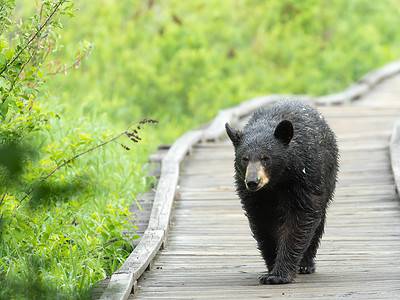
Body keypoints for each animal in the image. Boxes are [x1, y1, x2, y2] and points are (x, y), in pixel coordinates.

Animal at [225, 99, 338, 284]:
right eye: (244, 158)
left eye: (266, 158)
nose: (253, 181)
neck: (277, 182)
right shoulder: (255, 197)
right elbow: (263, 224)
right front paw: (271, 268)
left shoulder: (304, 180)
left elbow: (299, 220)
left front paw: (279, 274)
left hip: (328, 178)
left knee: (318, 222)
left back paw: (306, 264)